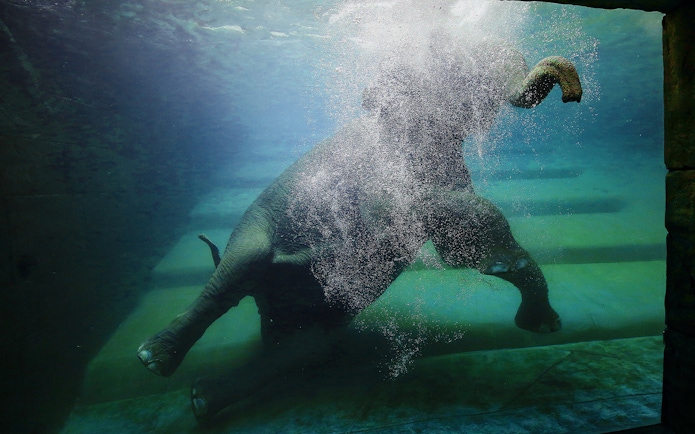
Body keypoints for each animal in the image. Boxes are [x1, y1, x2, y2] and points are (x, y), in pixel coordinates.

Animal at [137, 35, 582, 422]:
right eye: (454, 67)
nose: (572, 94)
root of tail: (267, 308)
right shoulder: (379, 171)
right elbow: (430, 211)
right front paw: (511, 274)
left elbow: (456, 240)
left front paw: (533, 309)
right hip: (254, 227)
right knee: (239, 271)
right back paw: (154, 360)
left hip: (322, 317)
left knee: (303, 349)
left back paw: (200, 399)